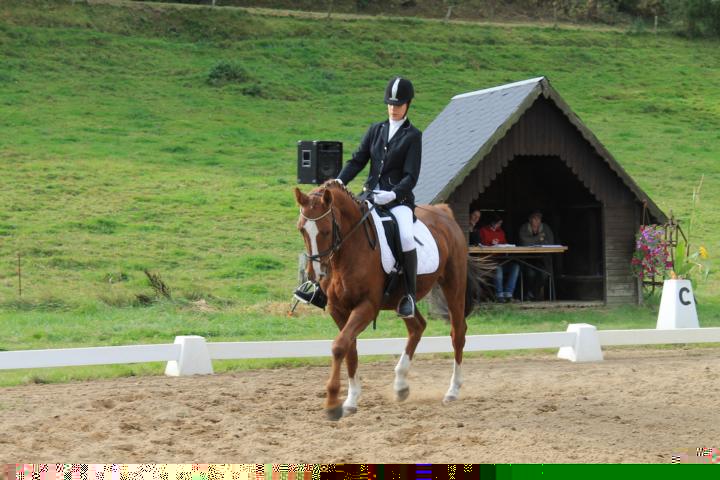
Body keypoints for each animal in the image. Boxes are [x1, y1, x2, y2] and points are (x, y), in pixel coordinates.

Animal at [294, 180, 479, 420]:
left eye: (325, 230)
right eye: (301, 229)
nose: (315, 274)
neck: (348, 251)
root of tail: (444, 213)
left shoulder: (367, 307)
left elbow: (339, 346)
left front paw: (333, 403)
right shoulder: (338, 308)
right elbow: (349, 349)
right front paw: (350, 400)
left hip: (453, 285)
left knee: (457, 333)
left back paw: (453, 390)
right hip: (403, 299)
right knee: (417, 327)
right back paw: (401, 385)